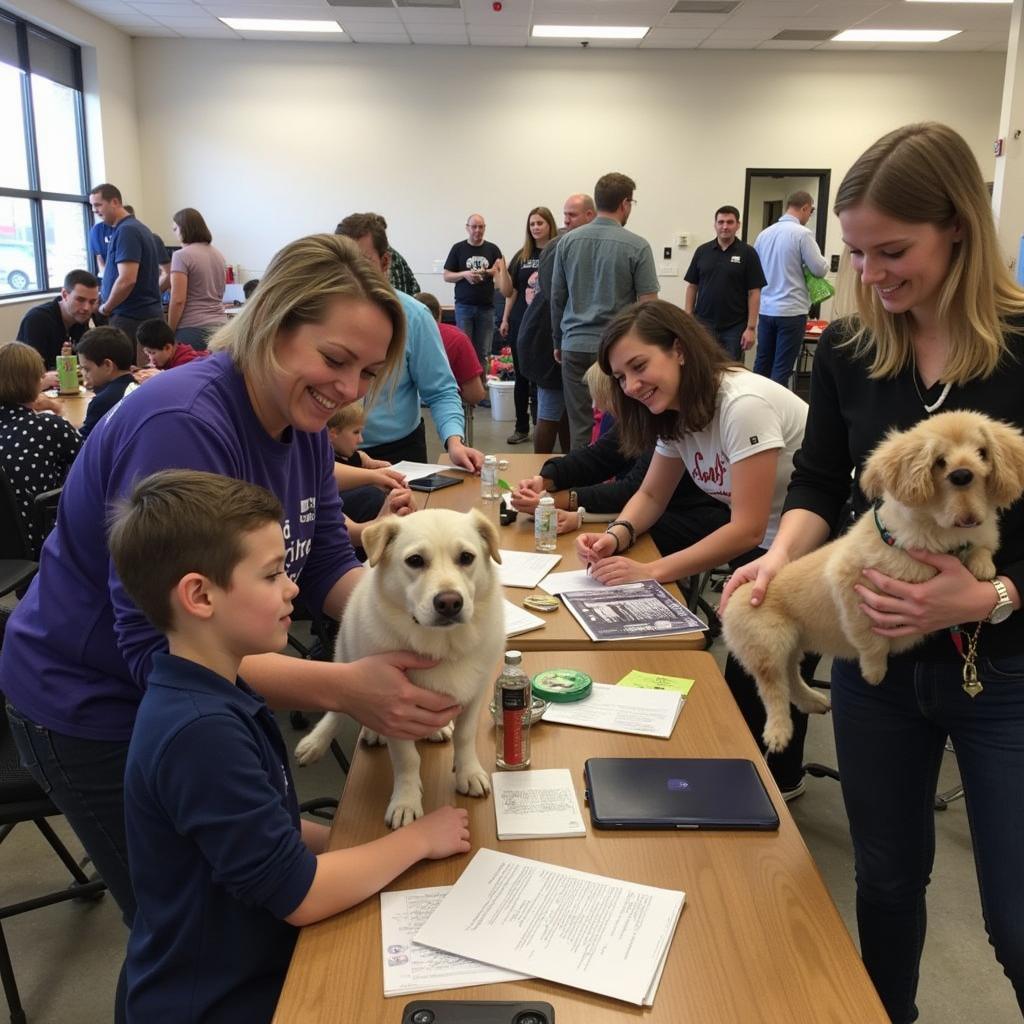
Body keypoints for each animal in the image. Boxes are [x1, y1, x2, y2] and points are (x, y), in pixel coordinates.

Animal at [294, 507, 505, 827]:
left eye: (466, 557)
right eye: (415, 561)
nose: (450, 602)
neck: (441, 646)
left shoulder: (475, 696)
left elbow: (465, 736)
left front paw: (467, 772)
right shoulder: (395, 708)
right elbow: (407, 760)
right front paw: (406, 800)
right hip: (346, 653)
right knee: (339, 708)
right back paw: (324, 740)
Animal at [720, 411, 1024, 757]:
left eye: (982, 453)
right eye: (939, 462)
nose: (963, 473)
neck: (942, 533)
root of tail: (735, 593)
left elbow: (983, 548)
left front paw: (983, 567)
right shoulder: (853, 591)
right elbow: (872, 642)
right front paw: (874, 674)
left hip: (792, 645)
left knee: (791, 678)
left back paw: (812, 701)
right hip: (769, 646)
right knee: (772, 689)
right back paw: (778, 732)